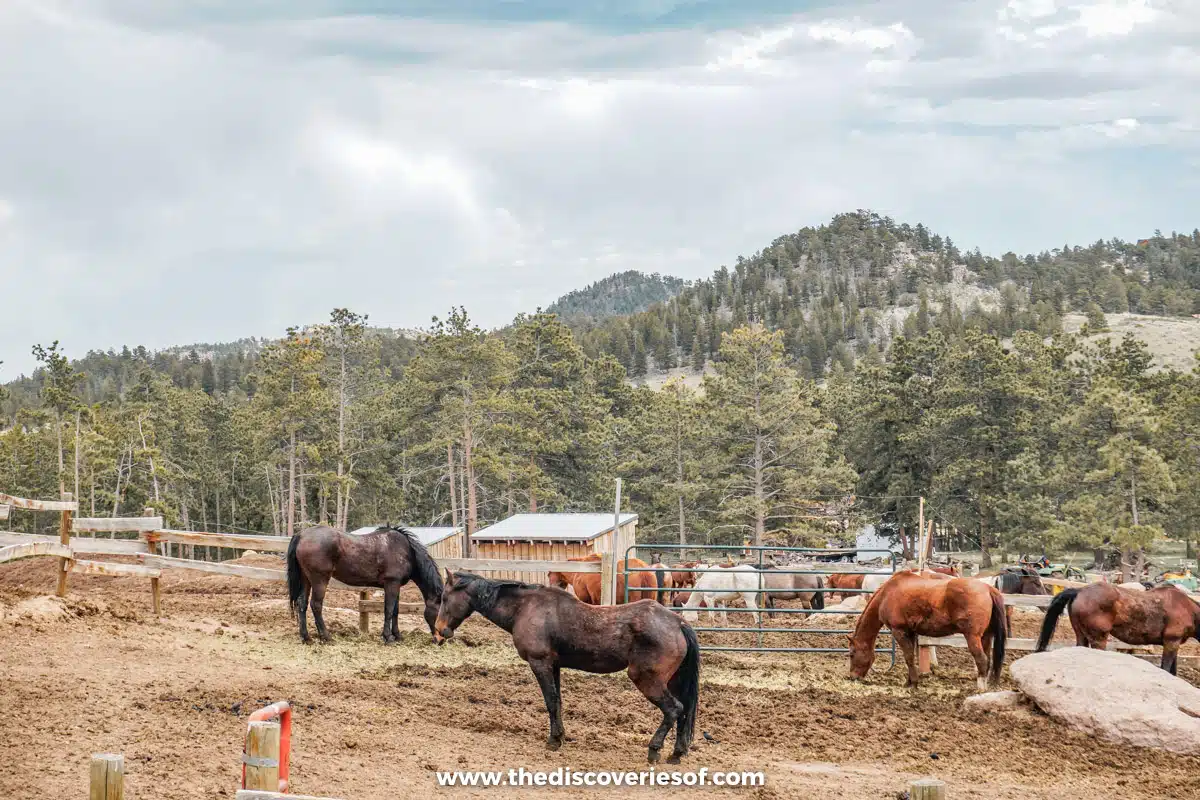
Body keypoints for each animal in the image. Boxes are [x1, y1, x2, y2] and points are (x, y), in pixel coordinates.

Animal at [286, 525, 446, 642]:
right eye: (441, 611)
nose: (442, 639)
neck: (406, 551)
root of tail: (301, 535)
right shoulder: (391, 583)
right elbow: (388, 610)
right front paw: (388, 637)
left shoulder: (396, 585)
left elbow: (395, 610)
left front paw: (397, 635)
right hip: (319, 580)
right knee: (316, 605)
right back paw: (326, 636)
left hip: (306, 579)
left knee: (302, 604)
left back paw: (306, 637)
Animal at [432, 568, 700, 762]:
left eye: (444, 597)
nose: (439, 631)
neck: (526, 608)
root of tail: (678, 622)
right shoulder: (554, 666)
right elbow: (558, 701)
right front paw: (560, 735)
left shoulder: (540, 663)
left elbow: (550, 702)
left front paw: (553, 740)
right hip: (673, 680)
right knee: (685, 710)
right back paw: (677, 752)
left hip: (646, 679)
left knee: (674, 709)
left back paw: (654, 750)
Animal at [849, 573, 1008, 690]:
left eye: (851, 654)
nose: (852, 677)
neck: (887, 594)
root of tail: (988, 588)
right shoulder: (911, 632)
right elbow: (911, 657)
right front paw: (909, 682)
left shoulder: (898, 631)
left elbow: (908, 657)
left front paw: (914, 683)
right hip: (985, 637)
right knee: (987, 660)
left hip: (972, 637)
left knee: (981, 659)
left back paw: (980, 688)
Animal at [1032, 582, 1200, 676]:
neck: (1187, 608)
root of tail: (1080, 591)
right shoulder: (1171, 641)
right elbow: (1166, 669)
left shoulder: (1173, 644)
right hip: (1098, 639)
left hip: (1081, 636)